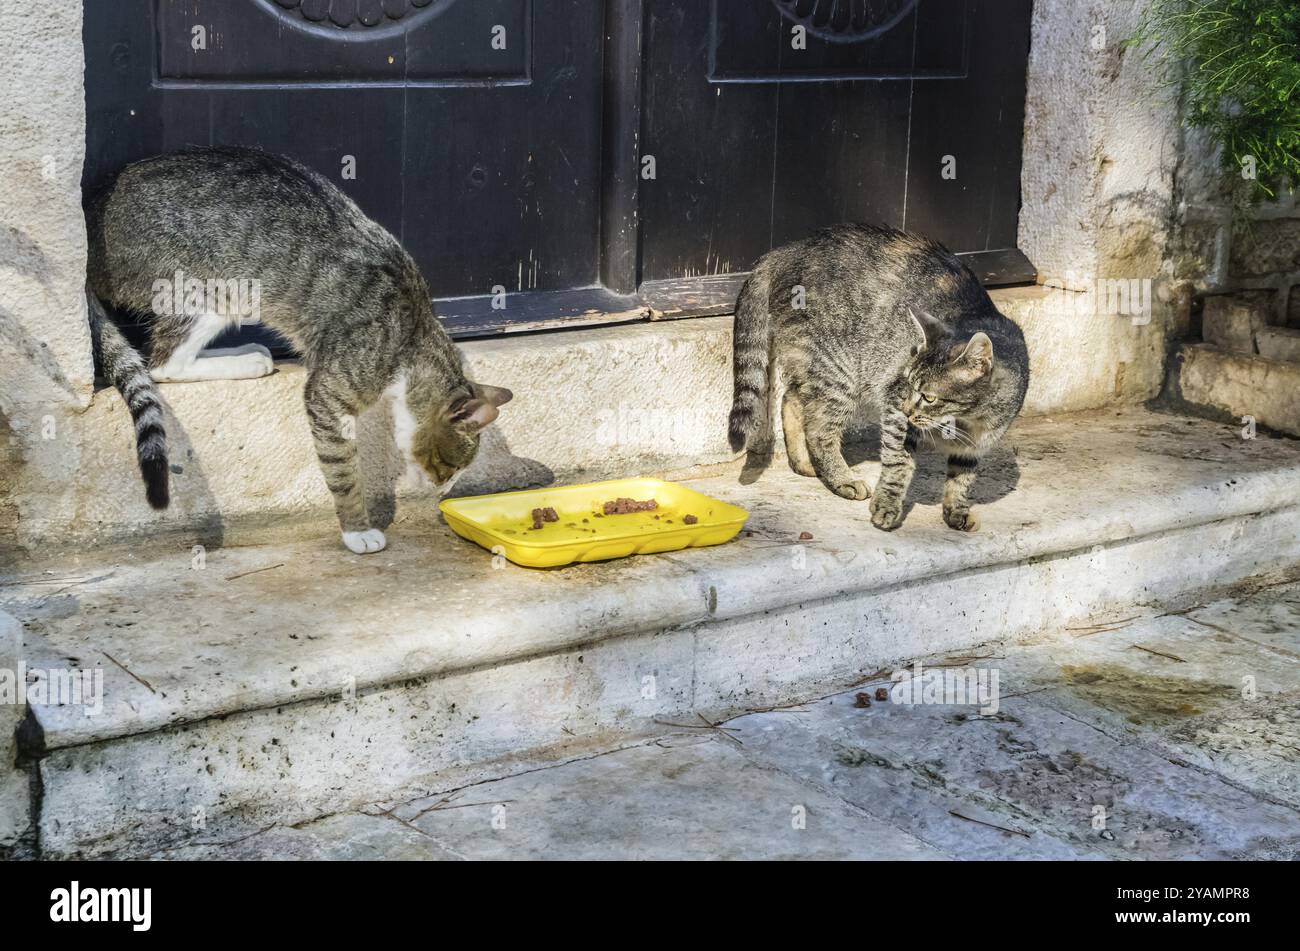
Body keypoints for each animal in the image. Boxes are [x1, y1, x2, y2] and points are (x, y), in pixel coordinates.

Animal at [85, 144, 512, 553]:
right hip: (210, 289)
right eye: (449, 467)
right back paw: (244, 361)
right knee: (162, 363)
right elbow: (342, 470)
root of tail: (91, 215)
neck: (412, 342)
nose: (441, 491)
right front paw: (358, 531)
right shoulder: (328, 396)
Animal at [733, 224, 1024, 535]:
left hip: (815, 367)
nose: (909, 409)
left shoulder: (974, 447)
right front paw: (887, 506)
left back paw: (804, 463)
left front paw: (957, 511)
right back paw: (841, 478)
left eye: (929, 397)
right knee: (819, 428)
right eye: (908, 385)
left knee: (791, 399)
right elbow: (899, 463)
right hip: (839, 371)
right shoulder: (895, 409)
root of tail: (786, 249)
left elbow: (962, 480)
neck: (966, 422)